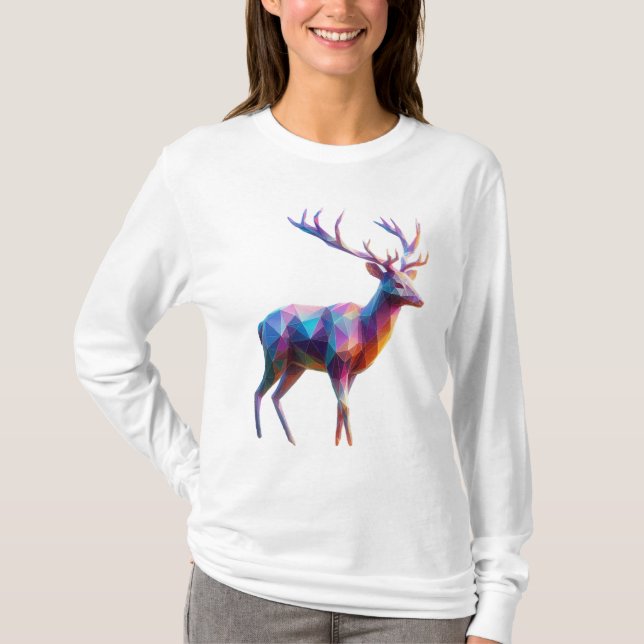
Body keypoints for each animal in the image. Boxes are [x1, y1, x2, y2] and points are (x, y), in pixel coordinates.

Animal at [254, 208, 429, 447]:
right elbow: (345, 406)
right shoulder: (336, 363)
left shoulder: (352, 371)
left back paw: (292, 439)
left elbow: (339, 407)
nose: (421, 300)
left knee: (276, 396)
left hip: (295, 365)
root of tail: (261, 324)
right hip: (274, 356)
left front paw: (338, 442)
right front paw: (350, 443)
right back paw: (260, 435)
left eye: (410, 280)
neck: (364, 330)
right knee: (259, 392)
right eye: (397, 282)